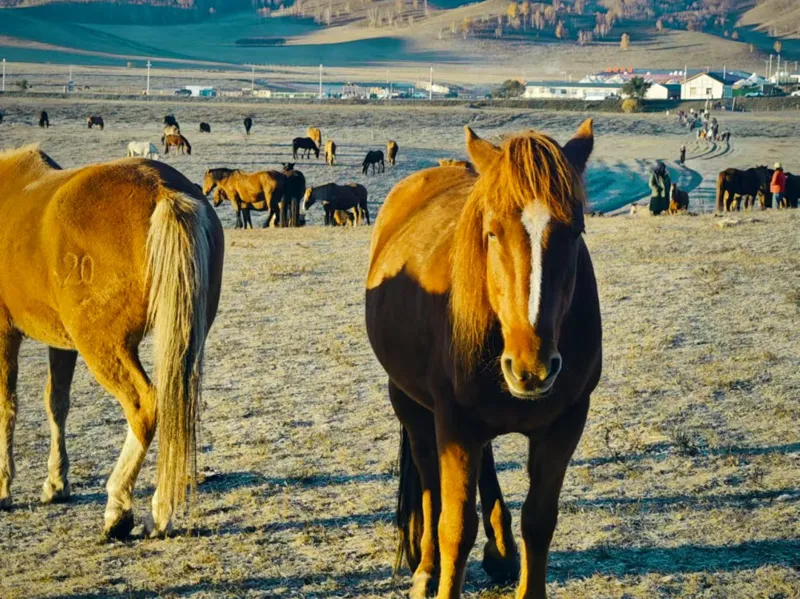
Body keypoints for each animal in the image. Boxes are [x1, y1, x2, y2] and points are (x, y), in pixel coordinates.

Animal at [0, 145, 224, 539]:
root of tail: (163, 189)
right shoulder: (62, 343)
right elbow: (56, 403)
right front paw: (56, 483)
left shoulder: (4, 330)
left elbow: (7, 407)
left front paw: (3, 488)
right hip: (182, 340)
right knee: (172, 404)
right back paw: (160, 512)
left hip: (105, 347)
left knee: (145, 407)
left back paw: (119, 509)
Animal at [365, 121, 600, 599]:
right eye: (492, 232)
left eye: (575, 232)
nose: (533, 366)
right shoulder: (454, 425)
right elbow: (454, 526)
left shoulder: (566, 424)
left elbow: (539, 521)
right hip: (411, 404)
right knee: (430, 486)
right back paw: (427, 567)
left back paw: (502, 552)